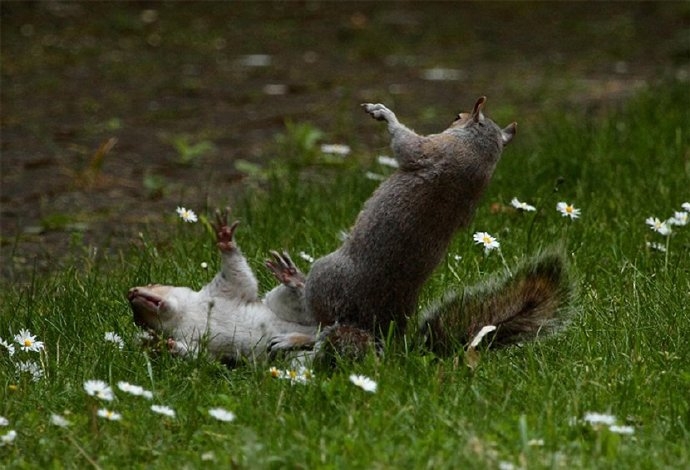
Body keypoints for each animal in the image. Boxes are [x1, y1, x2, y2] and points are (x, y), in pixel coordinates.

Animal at [127, 209, 316, 364]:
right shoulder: (198, 345)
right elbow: (197, 357)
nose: (130, 293)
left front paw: (225, 238)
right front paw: (162, 345)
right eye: (138, 321)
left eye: (153, 283)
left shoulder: (223, 290)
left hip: (282, 305)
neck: (183, 315)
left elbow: (238, 274)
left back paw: (291, 277)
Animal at [272, 97, 572, 358]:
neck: (480, 152)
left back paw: (294, 285)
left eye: (457, 116)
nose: (455, 115)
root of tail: (374, 327)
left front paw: (385, 114)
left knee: (320, 324)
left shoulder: (433, 149)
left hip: (326, 277)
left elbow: (407, 144)